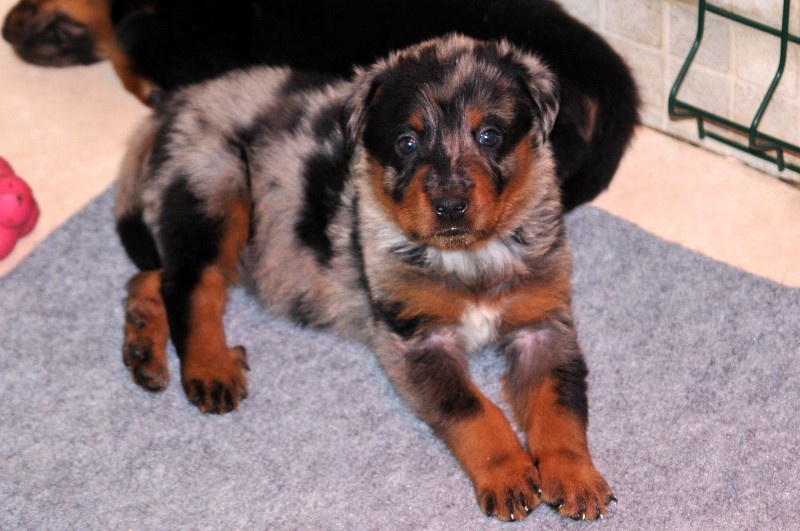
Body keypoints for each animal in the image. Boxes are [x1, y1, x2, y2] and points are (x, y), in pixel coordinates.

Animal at [114, 34, 614, 523]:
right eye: (407, 142)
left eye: (489, 135)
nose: (450, 206)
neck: (469, 257)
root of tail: (178, 101)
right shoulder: (416, 338)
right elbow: (473, 407)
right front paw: (508, 474)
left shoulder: (542, 325)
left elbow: (560, 407)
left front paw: (575, 477)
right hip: (213, 186)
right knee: (190, 282)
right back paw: (210, 368)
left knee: (152, 275)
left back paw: (142, 345)